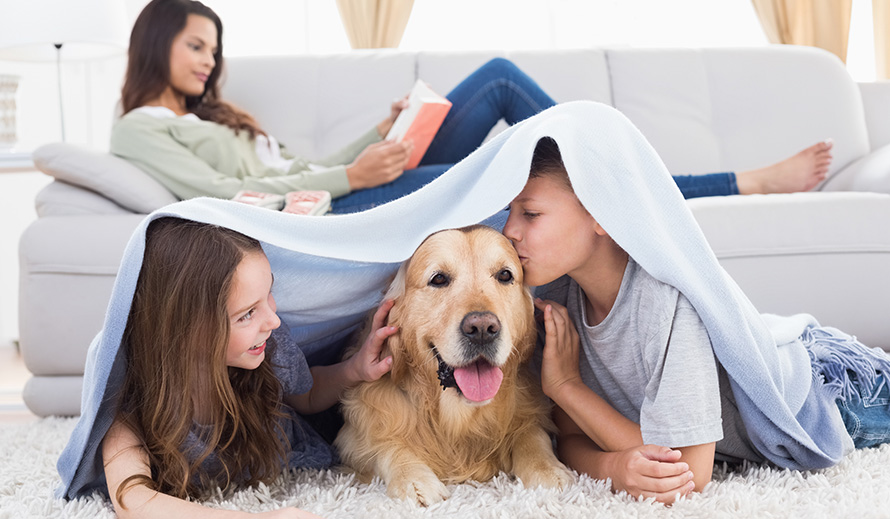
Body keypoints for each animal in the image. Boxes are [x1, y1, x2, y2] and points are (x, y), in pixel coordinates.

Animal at [332, 225, 568, 506]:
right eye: (438, 279)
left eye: (504, 275)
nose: (482, 329)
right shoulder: (355, 434)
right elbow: (385, 445)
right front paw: (414, 480)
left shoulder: (528, 413)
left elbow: (532, 435)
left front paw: (548, 470)